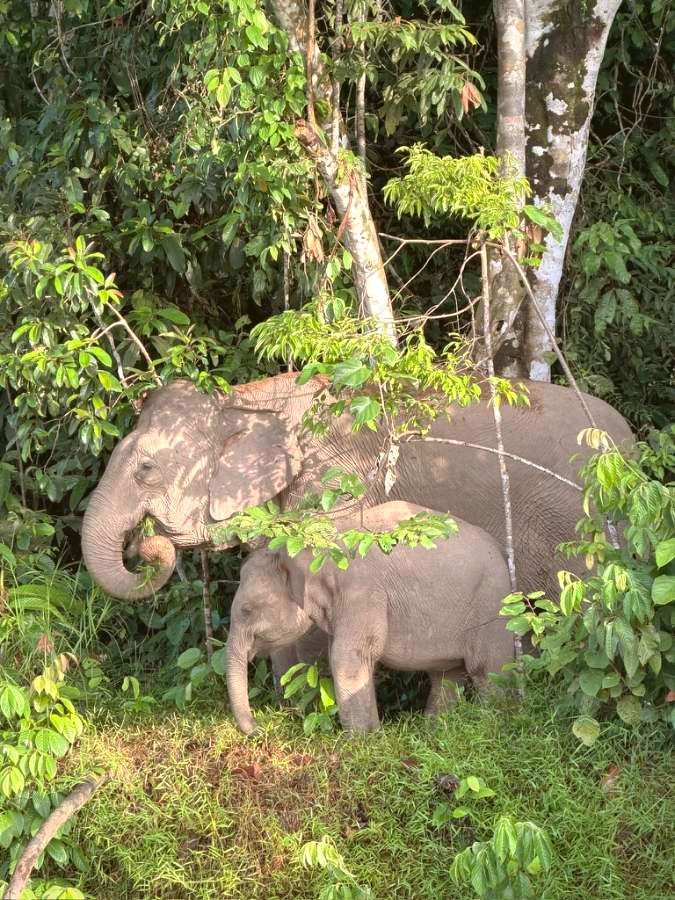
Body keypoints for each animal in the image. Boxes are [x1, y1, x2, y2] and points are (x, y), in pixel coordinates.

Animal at [226, 501, 513, 734]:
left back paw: (491, 723)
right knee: (446, 676)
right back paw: (436, 730)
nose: (260, 728)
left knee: (487, 670)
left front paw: (363, 741)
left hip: (493, 605)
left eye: (247, 610)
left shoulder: (363, 594)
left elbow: (348, 656)